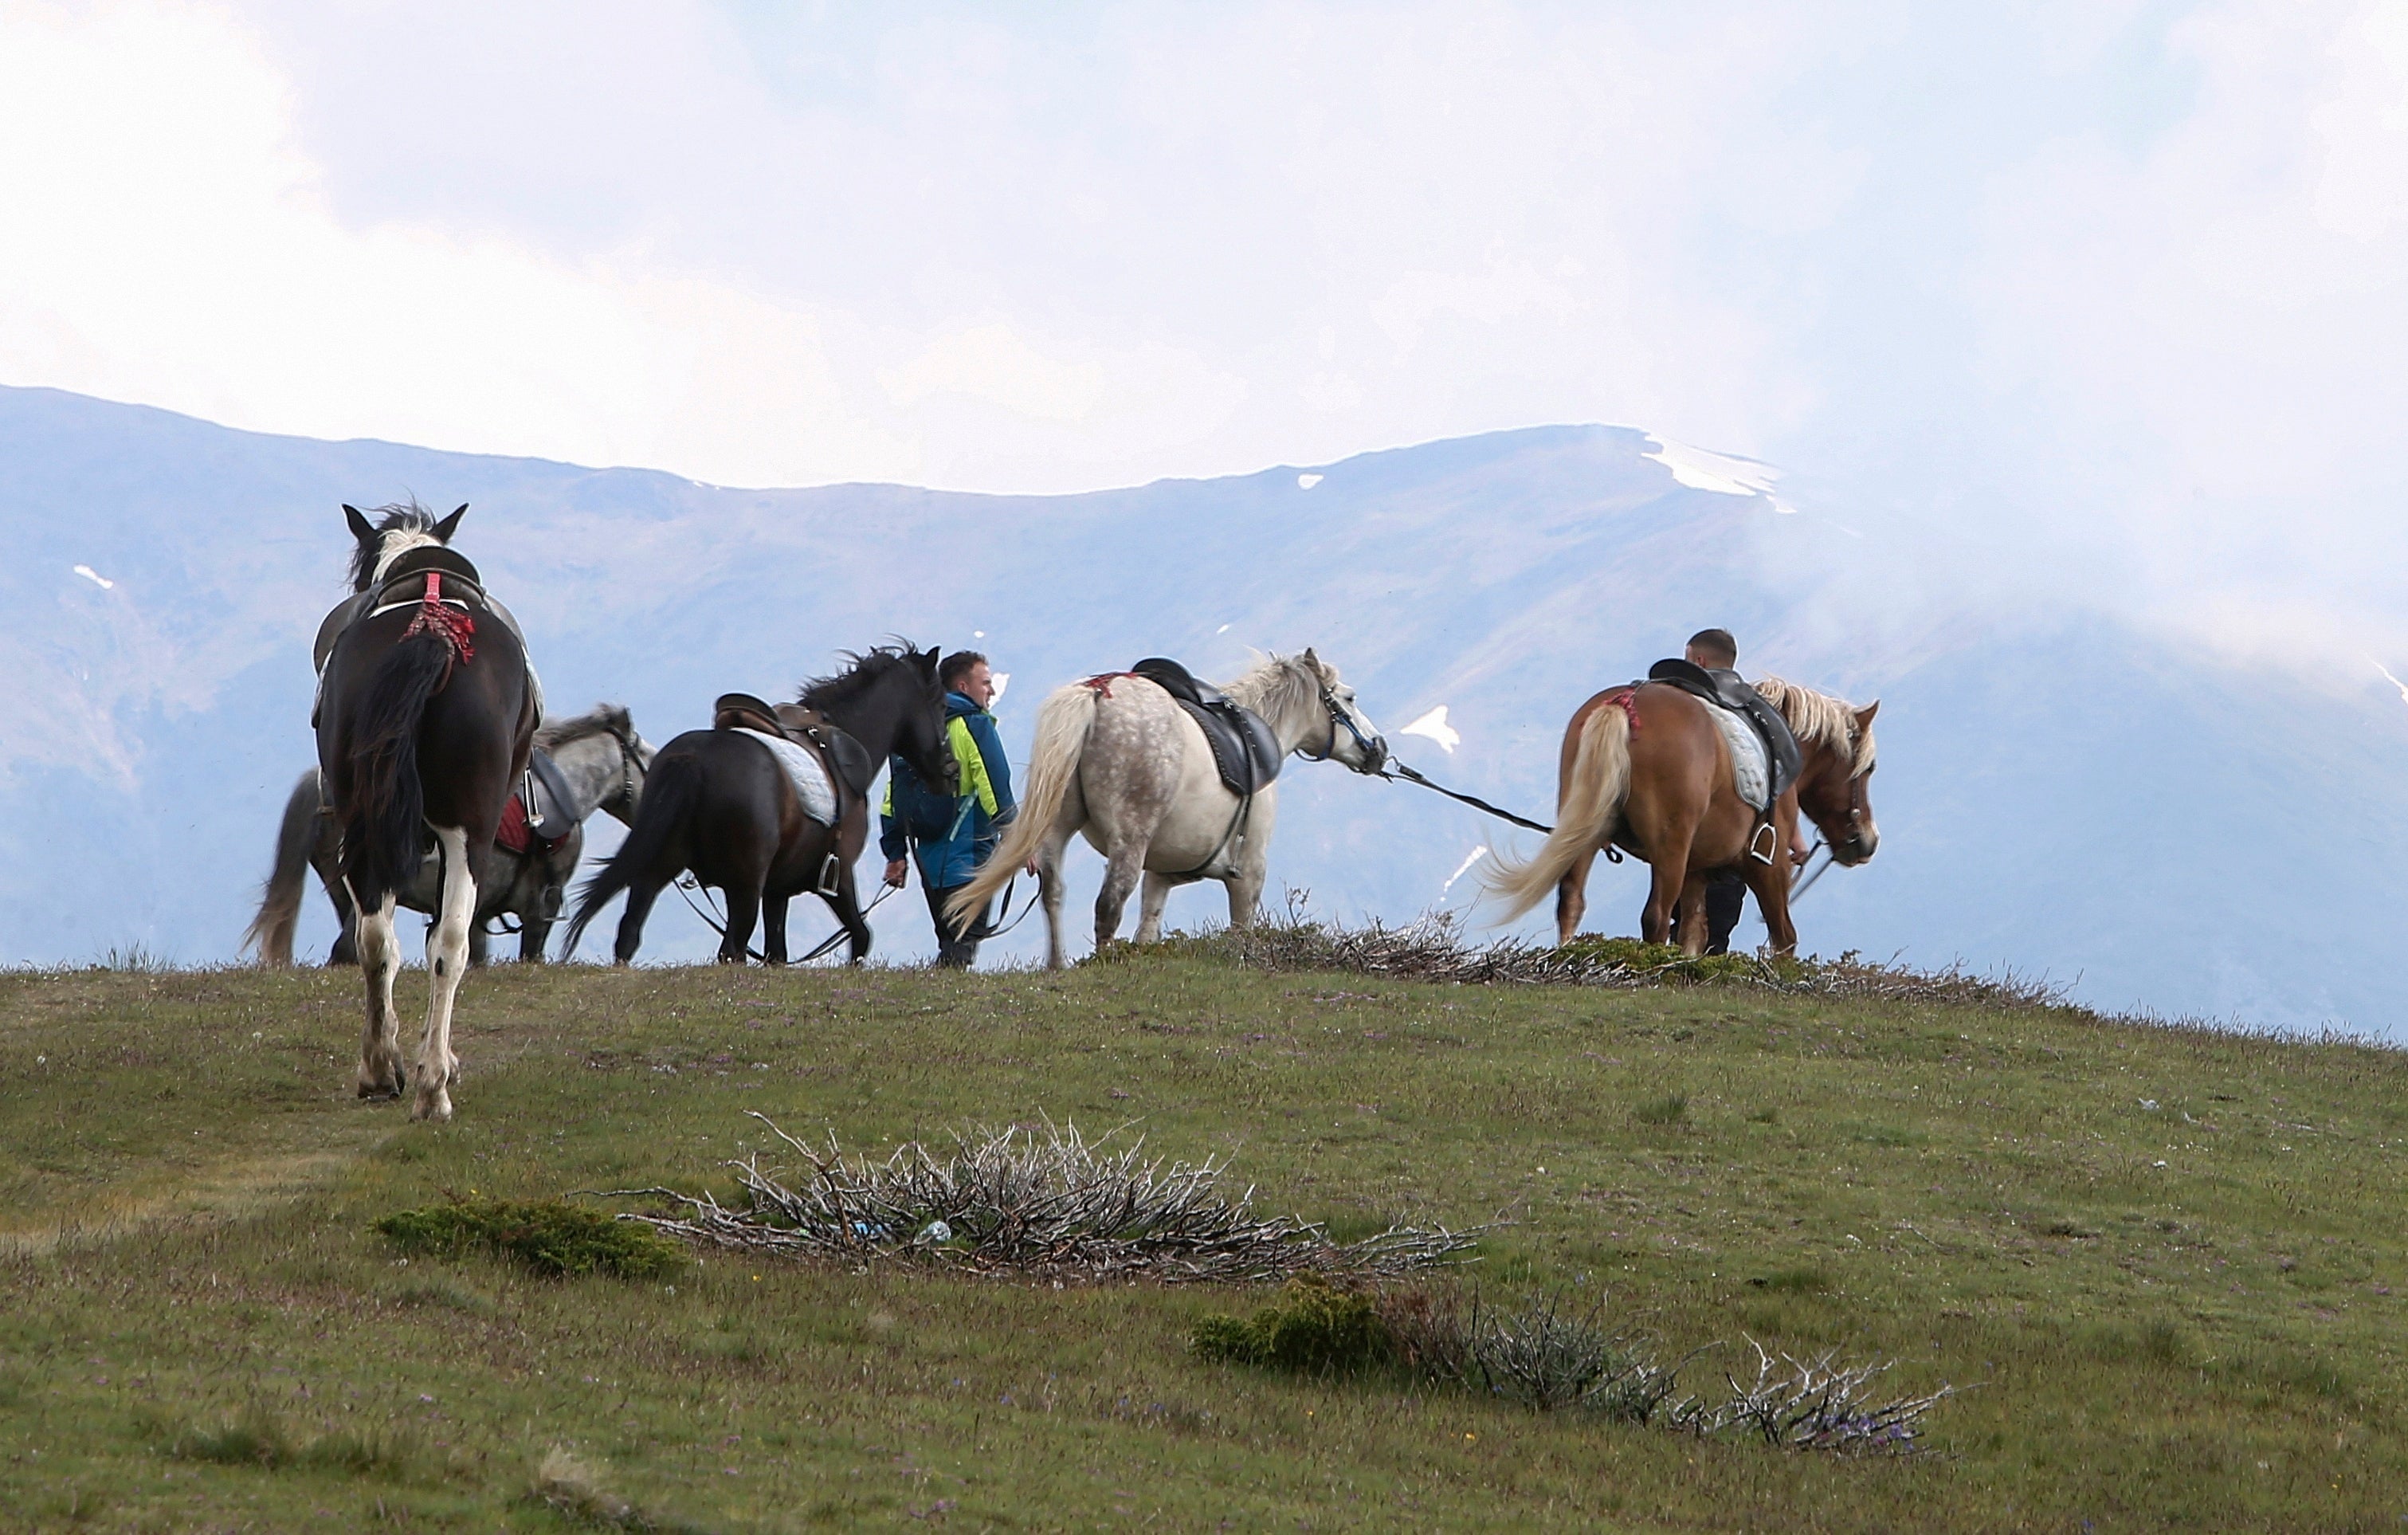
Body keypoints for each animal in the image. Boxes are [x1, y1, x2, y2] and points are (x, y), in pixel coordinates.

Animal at [315, 503, 536, 1113]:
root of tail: (431, 635)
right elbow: (444, 932)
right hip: (470, 830)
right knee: (451, 942)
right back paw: (431, 1082)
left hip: (363, 817)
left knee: (375, 940)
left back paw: (379, 1068)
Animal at [573, 646, 958, 959]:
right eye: (941, 705)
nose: (950, 770)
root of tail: (694, 759)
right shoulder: (838, 876)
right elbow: (861, 938)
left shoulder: (777, 890)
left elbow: (777, 954)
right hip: (744, 887)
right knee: (732, 949)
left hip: (658, 869)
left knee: (629, 935)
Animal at [939, 650, 1396, 964]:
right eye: (1349, 698)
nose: (1379, 749)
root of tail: (1099, 694)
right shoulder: (1250, 869)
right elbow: (1240, 929)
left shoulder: (1159, 875)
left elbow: (1148, 929)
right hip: (1129, 839)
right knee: (1108, 904)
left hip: (1057, 832)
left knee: (1053, 893)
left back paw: (1058, 965)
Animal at [1483, 674, 1878, 954]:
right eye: (1870, 768)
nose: (1868, 841)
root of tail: (1627, 703)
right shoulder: (1768, 866)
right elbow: (1784, 938)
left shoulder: (1697, 871)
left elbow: (1692, 933)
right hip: (1669, 848)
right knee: (1655, 916)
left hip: (1586, 831)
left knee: (1571, 901)